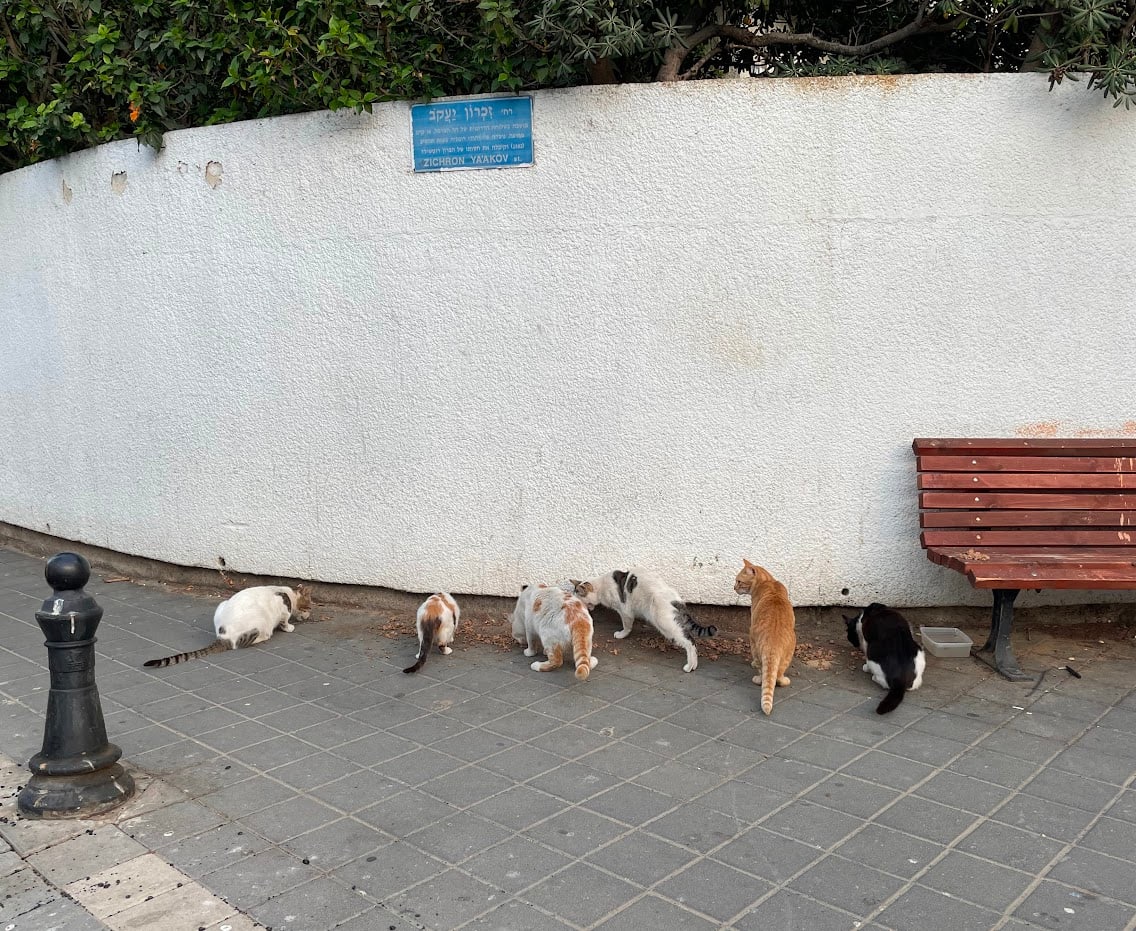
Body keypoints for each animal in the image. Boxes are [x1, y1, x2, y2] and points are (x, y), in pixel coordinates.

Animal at [142, 585, 311, 667]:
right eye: (309, 606)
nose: (309, 615)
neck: (288, 593)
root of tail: (223, 636)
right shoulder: (283, 609)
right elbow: (285, 621)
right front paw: (289, 627)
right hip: (261, 622)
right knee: (241, 643)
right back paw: (262, 636)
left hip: (221, 604)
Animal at [577, 563, 708, 672]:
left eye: (578, 600)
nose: (580, 608)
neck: (601, 586)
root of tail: (676, 600)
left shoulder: (625, 611)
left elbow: (627, 626)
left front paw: (622, 634)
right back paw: (694, 665)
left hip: (664, 623)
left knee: (690, 641)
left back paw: (689, 666)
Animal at [731, 560, 795, 713]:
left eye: (739, 581)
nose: (734, 587)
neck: (768, 581)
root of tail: (772, 645)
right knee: (777, 675)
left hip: (753, 642)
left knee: (766, 673)